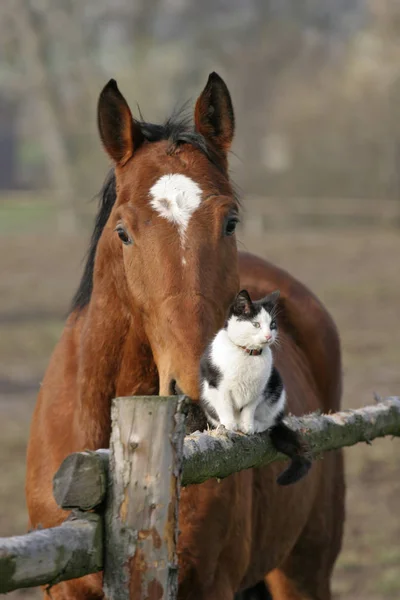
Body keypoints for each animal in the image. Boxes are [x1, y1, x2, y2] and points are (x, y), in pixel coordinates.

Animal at [200, 288, 312, 486]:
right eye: (256, 324)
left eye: (272, 324)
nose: (268, 335)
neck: (248, 354)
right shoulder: (218, 386)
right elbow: (225, 406)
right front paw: (229, 425)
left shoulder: (259, 391)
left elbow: (249, 409)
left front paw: (247, 426)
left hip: (277, 389)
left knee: (271, 421)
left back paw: (258, 425)